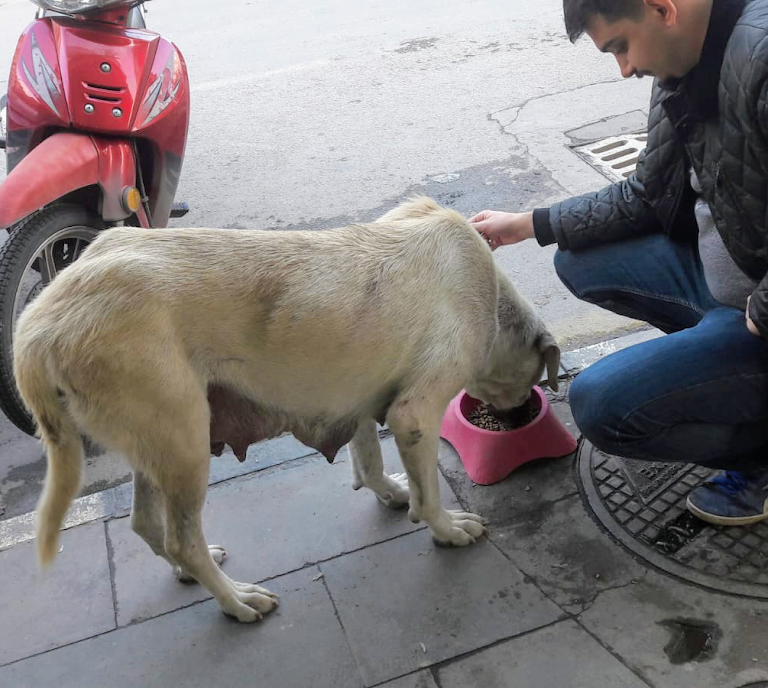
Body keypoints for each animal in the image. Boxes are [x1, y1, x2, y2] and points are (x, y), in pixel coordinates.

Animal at [13, 195, 560, 624]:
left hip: (157, 443)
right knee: (180, 538)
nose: (518, 417)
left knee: (150, 525)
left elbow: (369, 458)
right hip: (185, 440)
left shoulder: (360, 395)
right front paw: (446, 528)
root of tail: (40, 322)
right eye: (532, 380)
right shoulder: (415, 413)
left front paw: (389, 491)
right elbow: (428, 494)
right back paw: (235, 600)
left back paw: (190, 573)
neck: (493, 301)